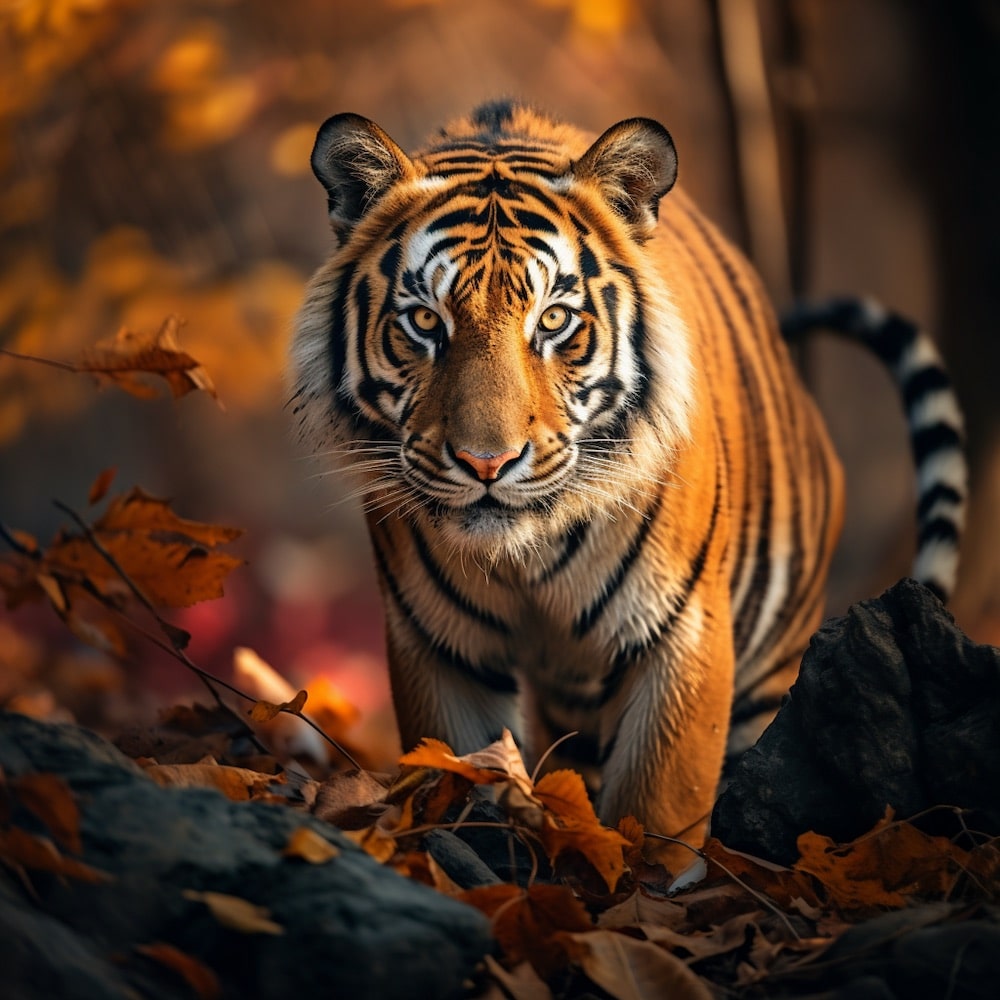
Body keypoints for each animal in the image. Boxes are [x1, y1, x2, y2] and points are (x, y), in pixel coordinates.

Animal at [288, 100, 966, 870]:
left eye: (554, 319)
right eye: (426, 321)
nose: (488, 462)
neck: (526, 557)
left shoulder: (680, 631)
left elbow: (657, 809)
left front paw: (647, 885)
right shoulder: (438, 645)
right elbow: (454, 771)